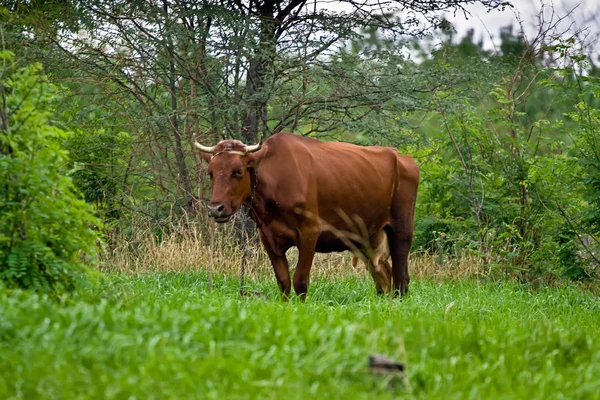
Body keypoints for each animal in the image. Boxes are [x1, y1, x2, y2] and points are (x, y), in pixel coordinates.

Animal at [196, 133, 418, 298]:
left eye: (238, 171)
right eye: (210, 172)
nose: (216, 208)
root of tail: (402, 157)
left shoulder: (309, 232)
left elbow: (300, 281)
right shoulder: (267, 236)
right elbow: (283, 281)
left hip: (402, 229)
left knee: (401, 278)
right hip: (367, 237)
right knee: (383, 277)